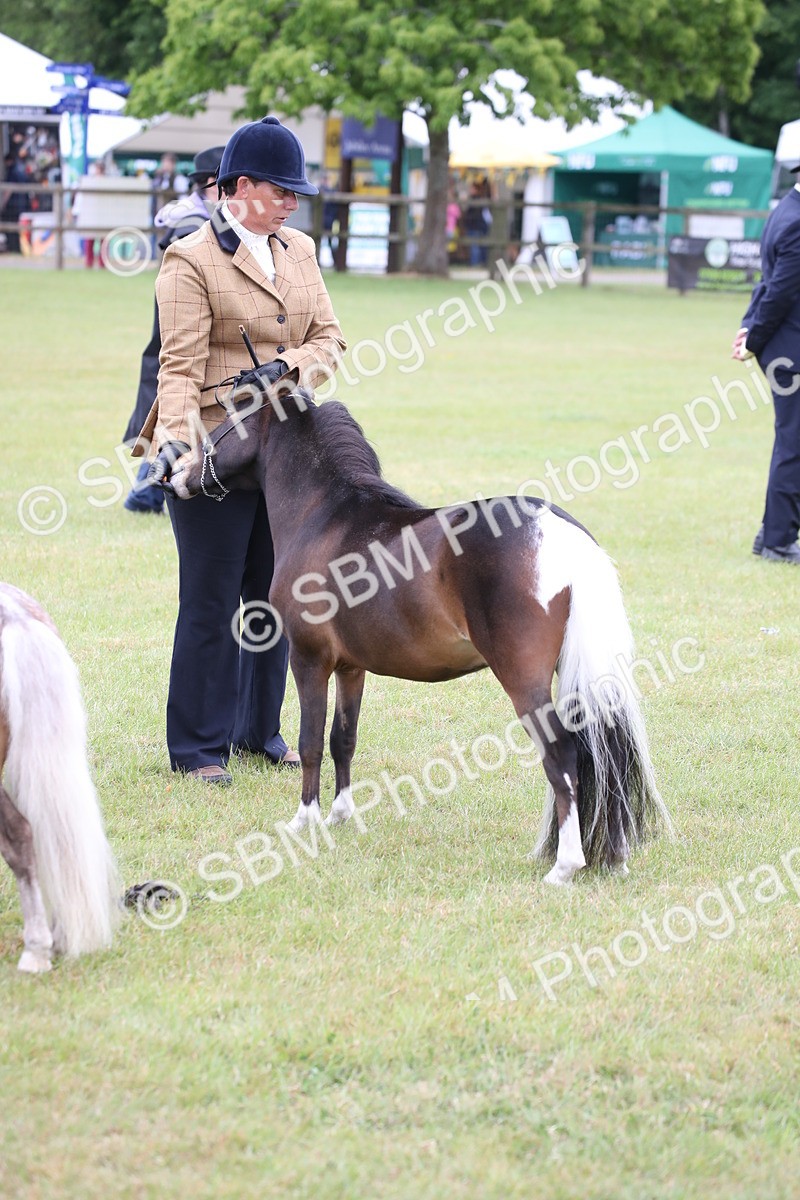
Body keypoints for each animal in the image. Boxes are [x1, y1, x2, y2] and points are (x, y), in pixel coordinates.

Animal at [170, 373, 670, 884]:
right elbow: (342, 740)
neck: (324, 517)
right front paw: (341, 816)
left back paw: (565, 866)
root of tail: (560, 534)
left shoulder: (309, 659)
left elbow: (310, 742)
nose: (174, 473)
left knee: (563, 757)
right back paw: (612, 857)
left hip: (525, 680)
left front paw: (304, 822)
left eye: (225, 420)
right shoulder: (351, 667)